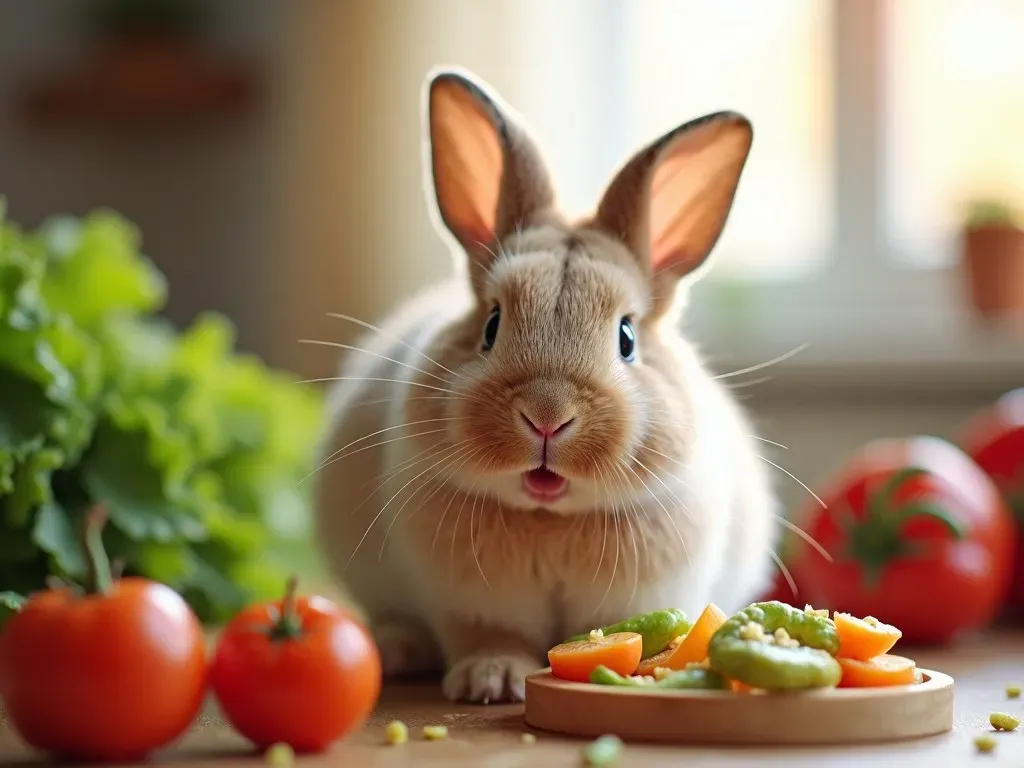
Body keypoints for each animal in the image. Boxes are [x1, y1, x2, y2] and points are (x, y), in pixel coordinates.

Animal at [311, 66, 774, 704]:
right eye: (491, 325)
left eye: (627, 337)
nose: (547, 416)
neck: (549, 518)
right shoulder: (472, 603)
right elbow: (490, 637)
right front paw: (491, 681)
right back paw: (399, 649)